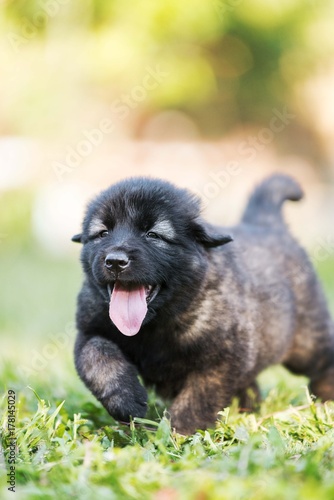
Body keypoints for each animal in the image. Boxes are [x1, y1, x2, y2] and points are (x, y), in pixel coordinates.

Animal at [73, 175, 334, 434]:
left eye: (153, 235)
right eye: (103, 233)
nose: (115, 261)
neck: (154, 324)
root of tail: (267, 225)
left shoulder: (222, 358)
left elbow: (199, 397)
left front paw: (178, 432)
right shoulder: (88, 331)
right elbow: (97, 356)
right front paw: (126, 400)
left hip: (305, 341)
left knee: (322, 358)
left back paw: (326, 396)